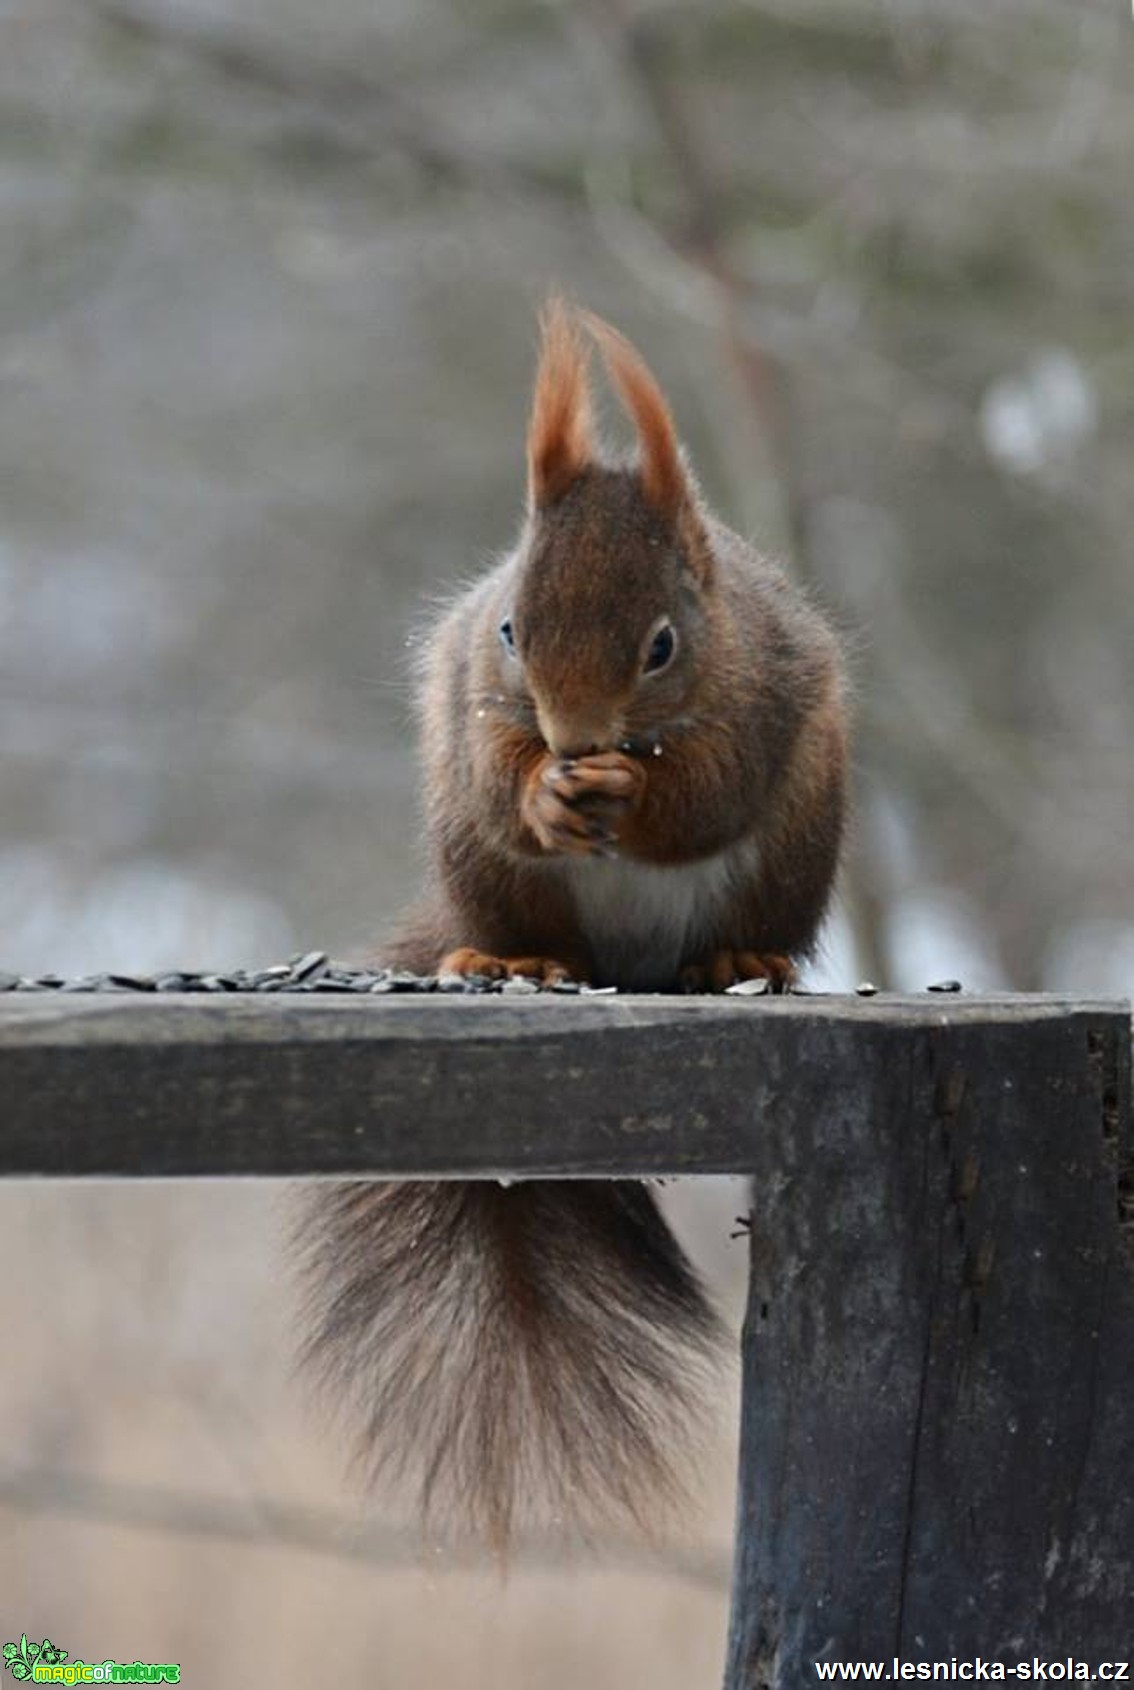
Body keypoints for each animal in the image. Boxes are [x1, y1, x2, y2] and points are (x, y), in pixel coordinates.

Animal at [297, 300, 848, 1548]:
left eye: (663, 643)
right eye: (508, 628)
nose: (576, 736)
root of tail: (625, 962)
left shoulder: (760, 691)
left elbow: (709, 787)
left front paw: (634, 793)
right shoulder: (475, 696)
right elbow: (506, 769)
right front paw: (550, 793)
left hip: (800, 832)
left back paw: (737, 957)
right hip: (477, 855)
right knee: (511, 886)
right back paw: (514, 958)